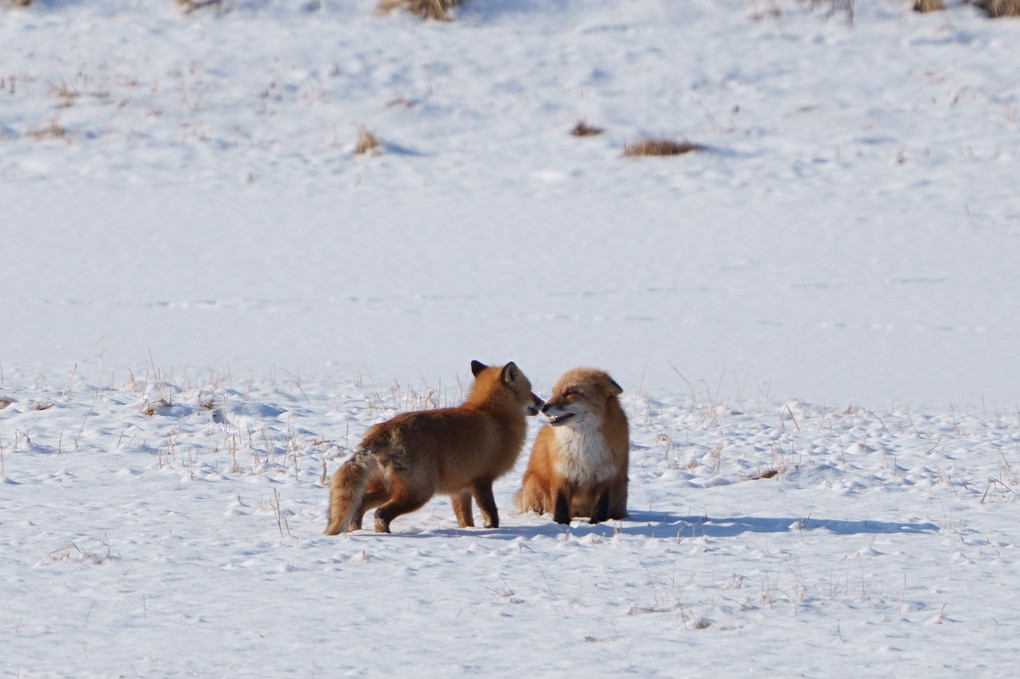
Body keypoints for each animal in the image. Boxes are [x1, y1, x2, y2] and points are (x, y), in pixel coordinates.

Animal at [326, 358, 542, 534]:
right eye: (530, 390)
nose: (542, 403)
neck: (494, 415)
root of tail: (385, 429)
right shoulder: (482, 480)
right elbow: (491, 514)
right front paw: (491, 530)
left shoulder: (461, 487)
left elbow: (465, 519)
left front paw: (468, 530)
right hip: (418, 491)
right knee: (380, 513)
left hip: (389, 488)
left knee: (359, 506)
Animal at [518, 367, 628, 519]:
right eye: (554, 392)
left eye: (571, 392)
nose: (544, 407)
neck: (584, 446)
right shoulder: (562, 473)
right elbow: (561, 505)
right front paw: (561, 523)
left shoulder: (606, 477)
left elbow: (601, 507)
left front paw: (598, 522)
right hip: (534, 486)